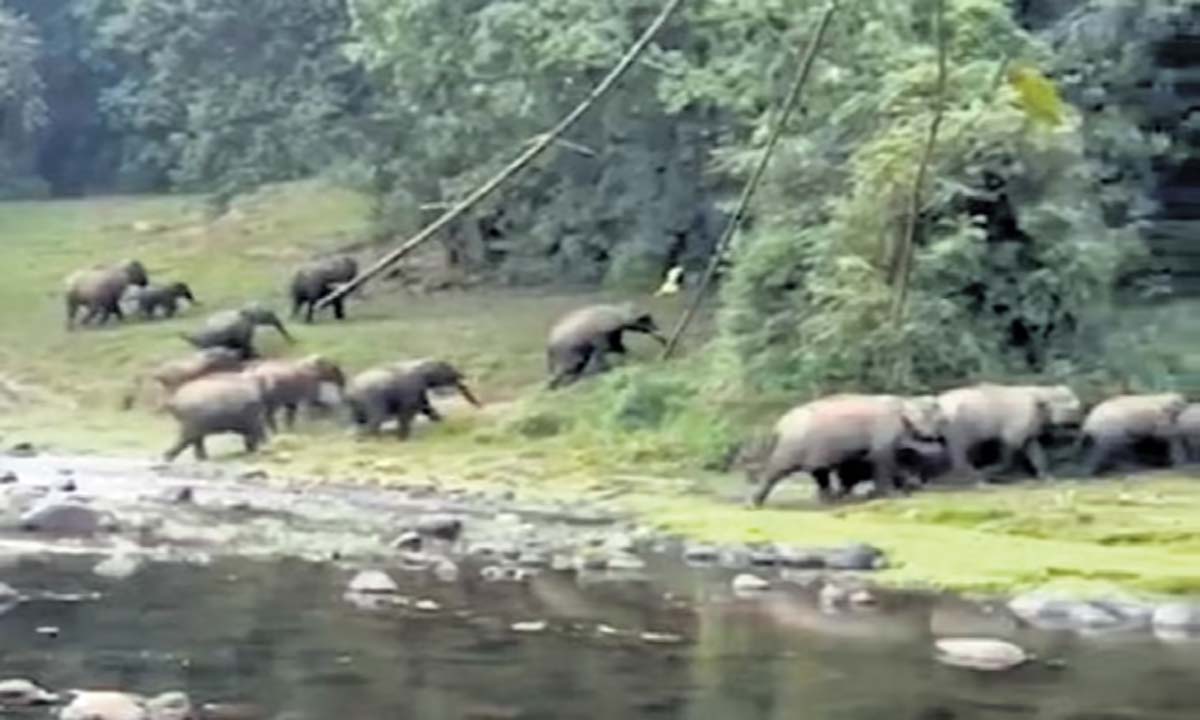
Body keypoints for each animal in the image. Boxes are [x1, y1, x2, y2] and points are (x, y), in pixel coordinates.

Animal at [744, 393, 950, 506]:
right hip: (793, 445)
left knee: (820, 472)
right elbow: (881, 457)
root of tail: (779, 425)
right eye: (942, 420)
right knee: (776, 470)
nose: (942, 439)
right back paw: (753, 504)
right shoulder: (885, 427)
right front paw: (891, 495)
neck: (904, 400)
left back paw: (830, 500)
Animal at [931, 386, 1084, 480]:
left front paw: (1046, 476)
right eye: (1071, 409)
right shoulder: (1019, 418)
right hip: (956, 422)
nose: (1078, 423)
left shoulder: (1031, 423)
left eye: (1077, 406)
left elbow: (1033, 447)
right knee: (959, 448)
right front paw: (991, 470)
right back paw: (971, 475)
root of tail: (939, 399)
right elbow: (1010, 443)